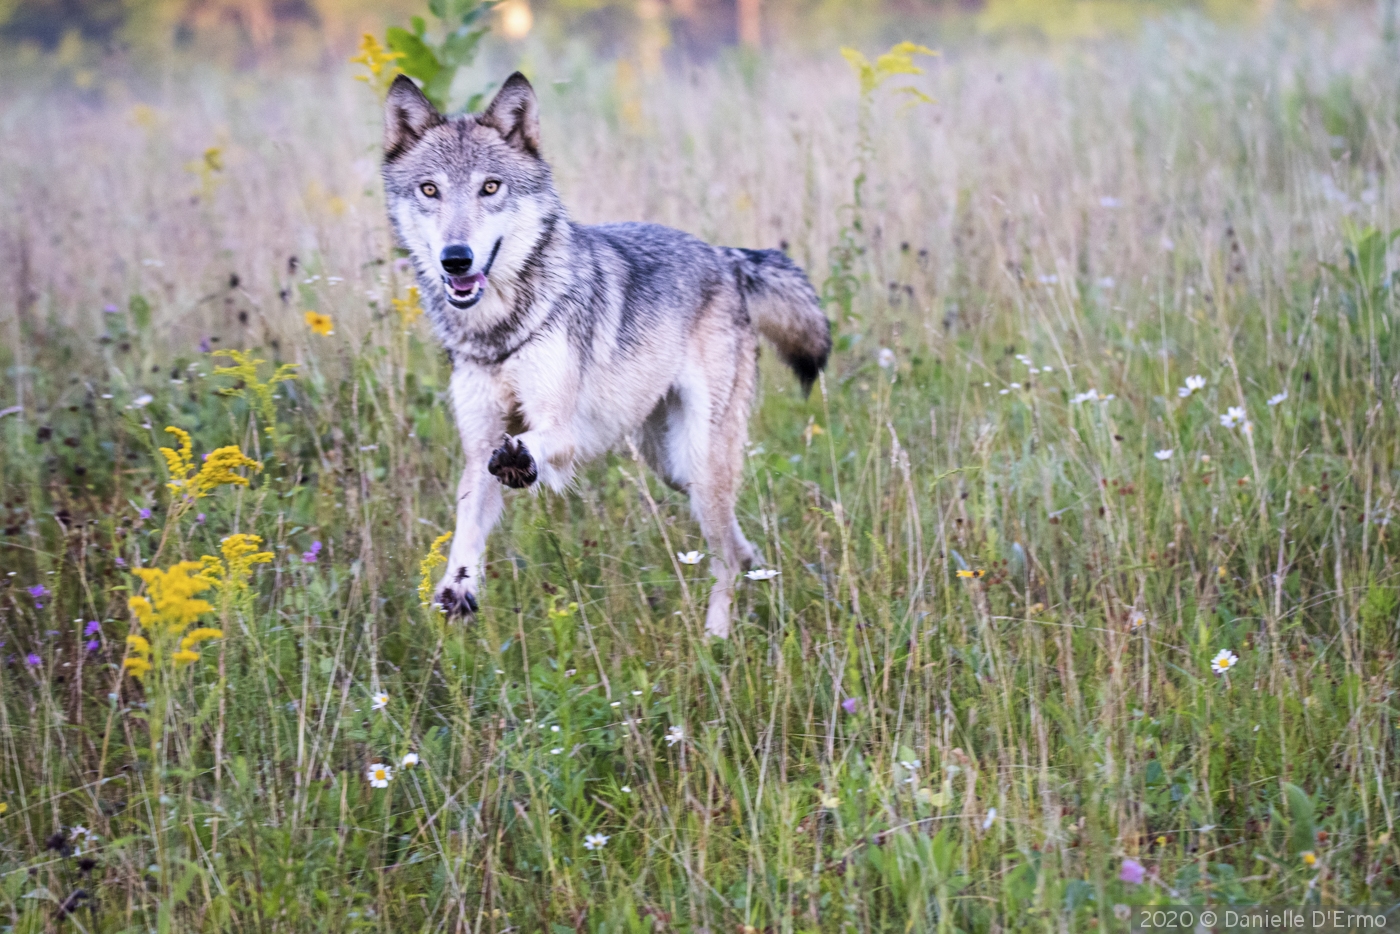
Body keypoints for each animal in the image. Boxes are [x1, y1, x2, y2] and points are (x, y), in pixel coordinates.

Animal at [380, 73, 828, 638]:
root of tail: (728, 258)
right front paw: (456, 589)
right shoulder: (479, 445)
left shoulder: (562, 431)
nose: (455, 259)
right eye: (429, 190)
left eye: (490, 187)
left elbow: (533, 444)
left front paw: (522, 463)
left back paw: (716, 637)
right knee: (736, 541)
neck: (499, 331)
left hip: (699, 462)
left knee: (724, 553)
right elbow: (466, 529)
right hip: (673, 467)